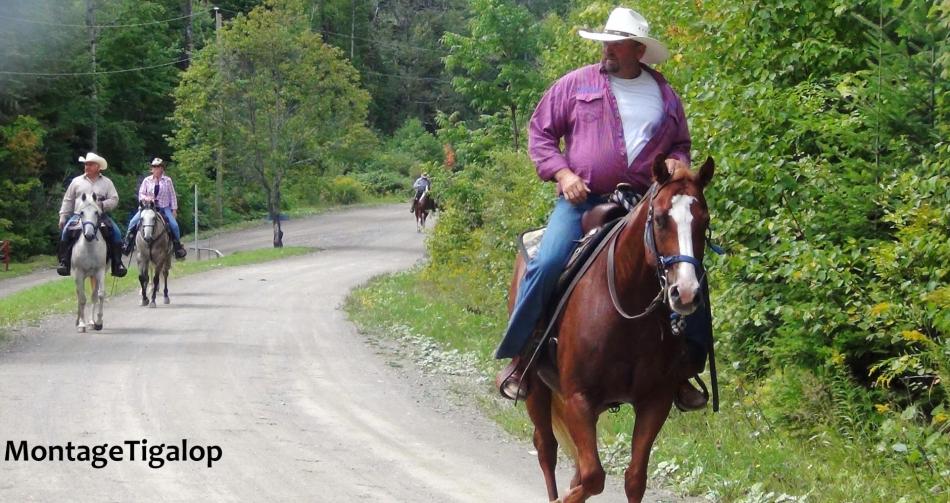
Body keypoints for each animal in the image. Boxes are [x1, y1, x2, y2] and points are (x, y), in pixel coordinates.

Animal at [71, 192, 108, 330]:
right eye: (81, 213)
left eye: (96, 212)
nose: (89, 235)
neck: (89, 248)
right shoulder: (79, 273)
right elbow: (82, 299)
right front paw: (82, 324)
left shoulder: (100, 272)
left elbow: (100, 295)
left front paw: (98, 322)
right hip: (78, 276)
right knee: (79, 294)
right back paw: (79, 321)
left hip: (93, 276)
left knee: (93, 296)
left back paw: (91, 322)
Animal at [512, 156, 712, 502]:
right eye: (661, 219)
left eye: (704, 220)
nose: (685, 293)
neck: (627, 315)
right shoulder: (579, 398)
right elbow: (593, 476)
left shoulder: (654, 401)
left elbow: (633, 478)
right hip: (536, 387)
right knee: (546, 448)